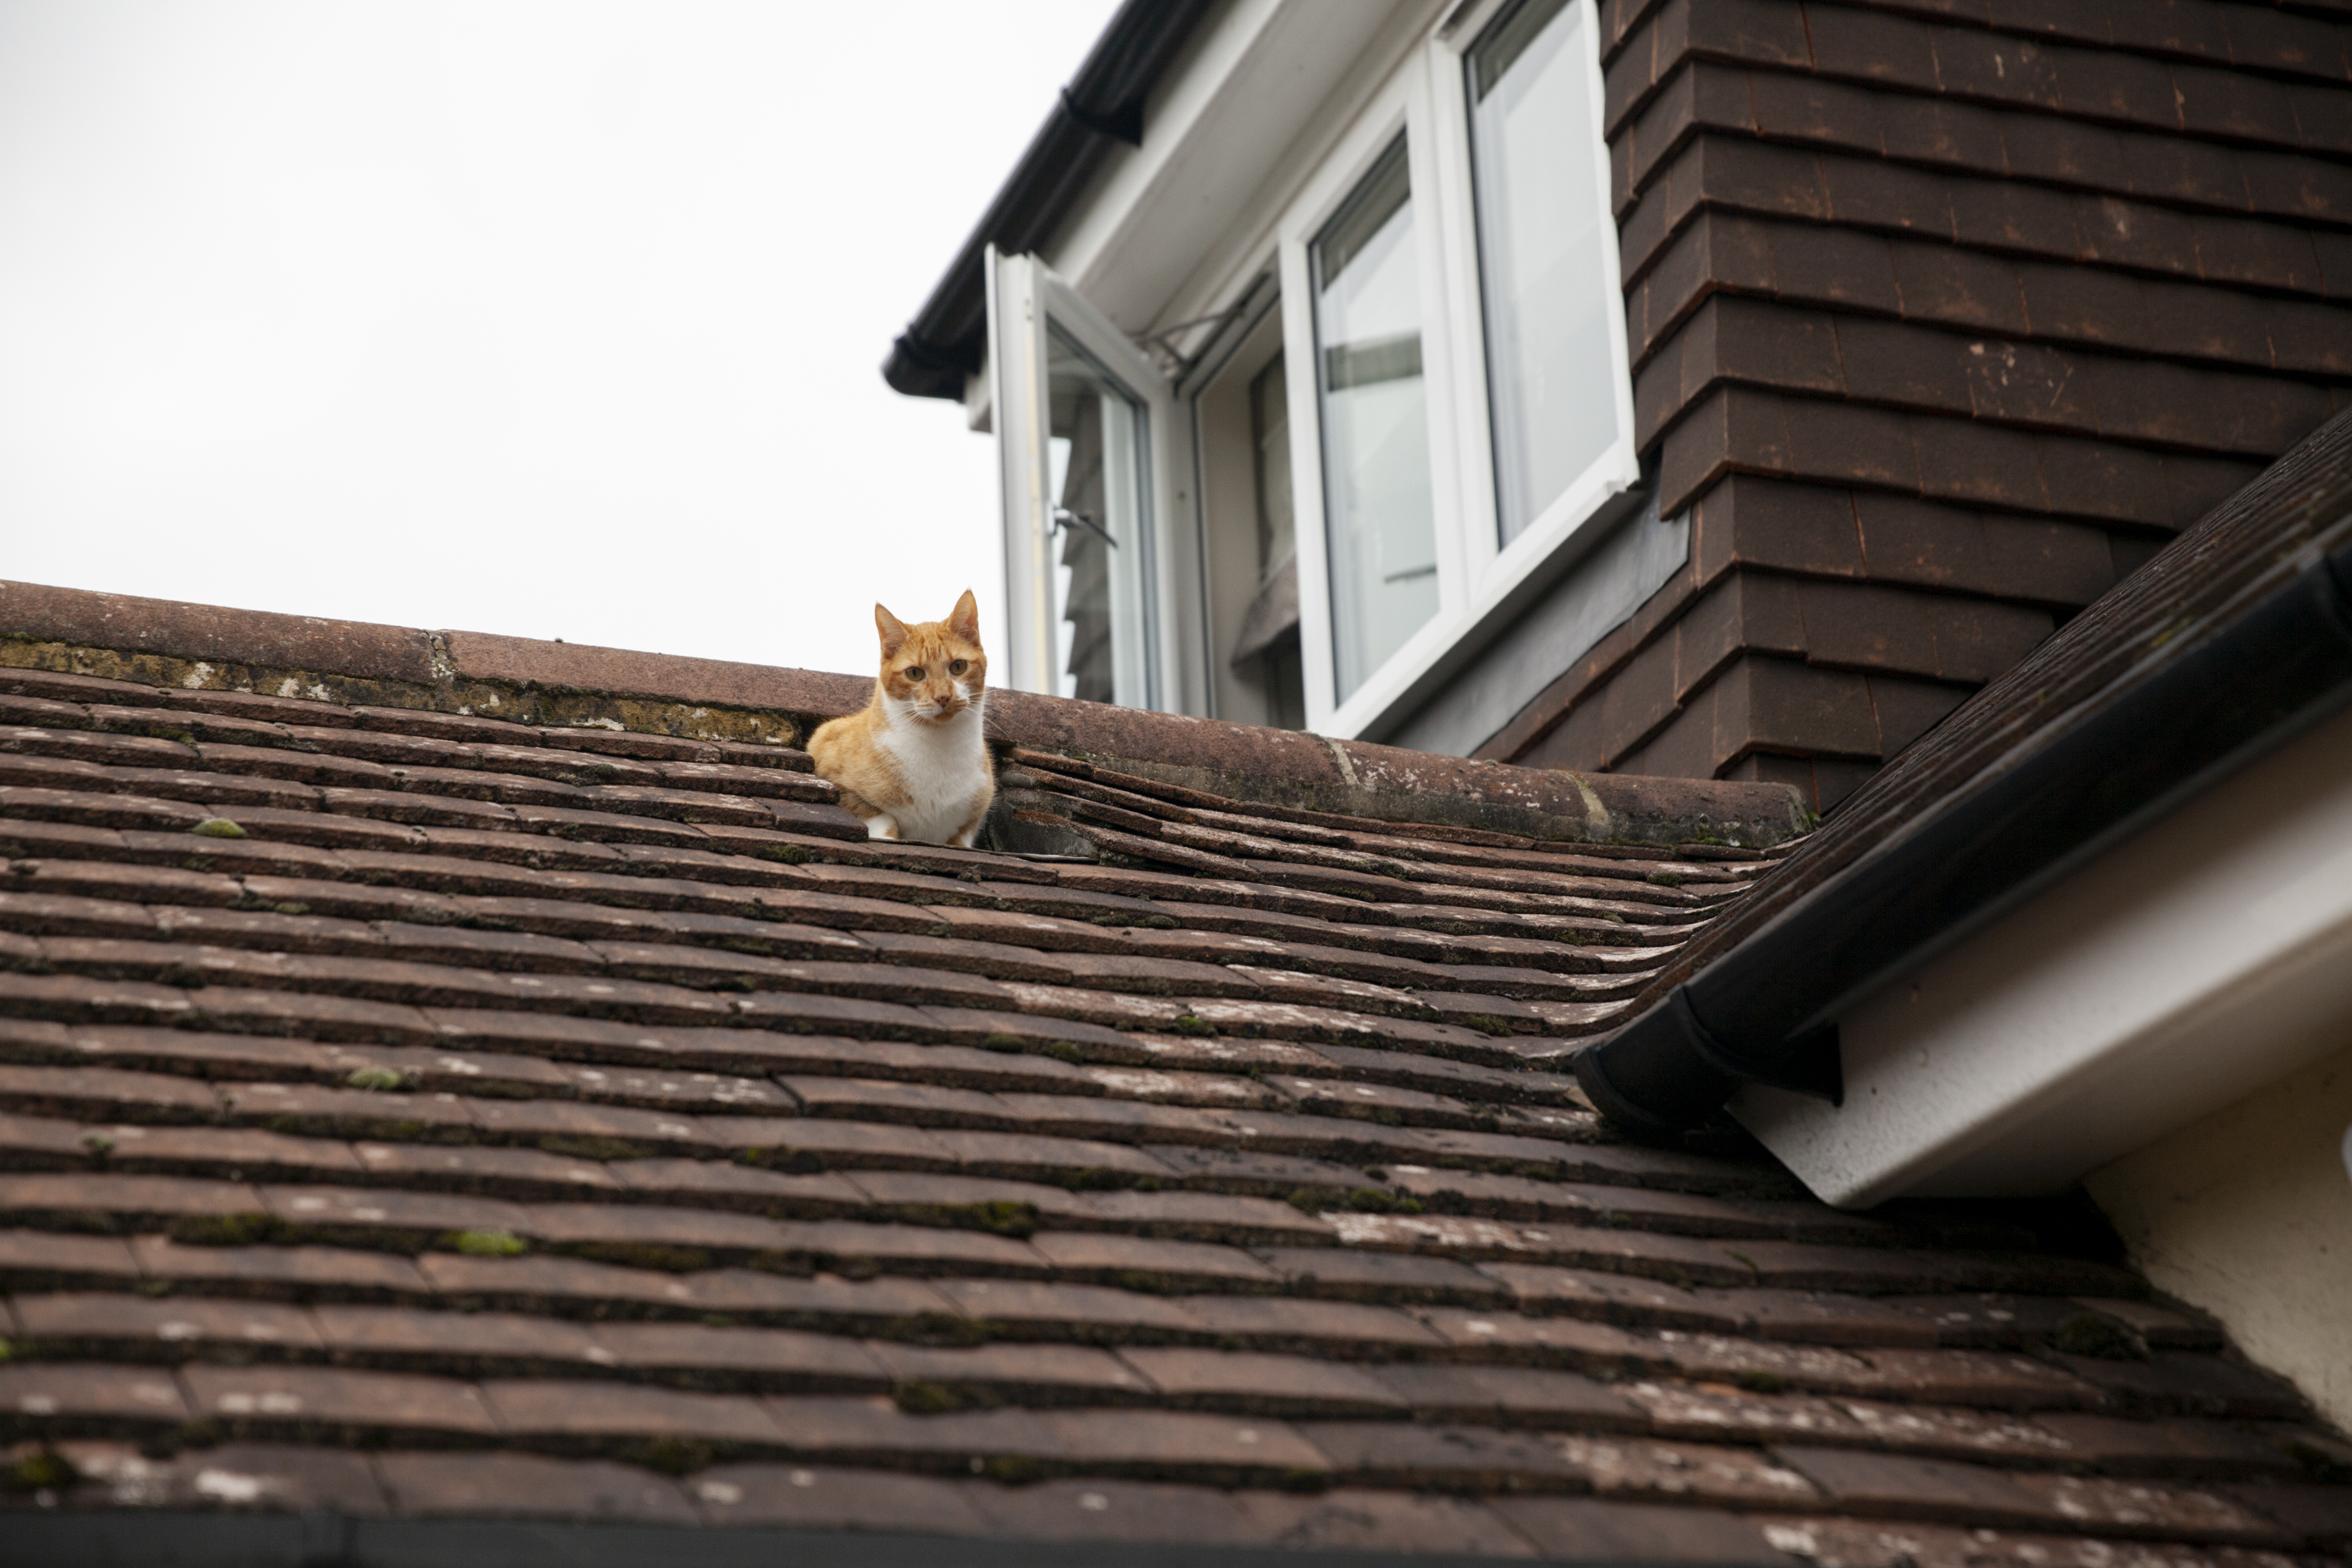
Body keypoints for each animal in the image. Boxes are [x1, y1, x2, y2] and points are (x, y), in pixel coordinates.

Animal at [809, 588, 992, 846]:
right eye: (915, 673)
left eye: (958, 667)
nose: (943, 697)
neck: (940, 746)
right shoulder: (830, 769)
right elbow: (878, 816)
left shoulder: (969, 822)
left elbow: (959, 839)